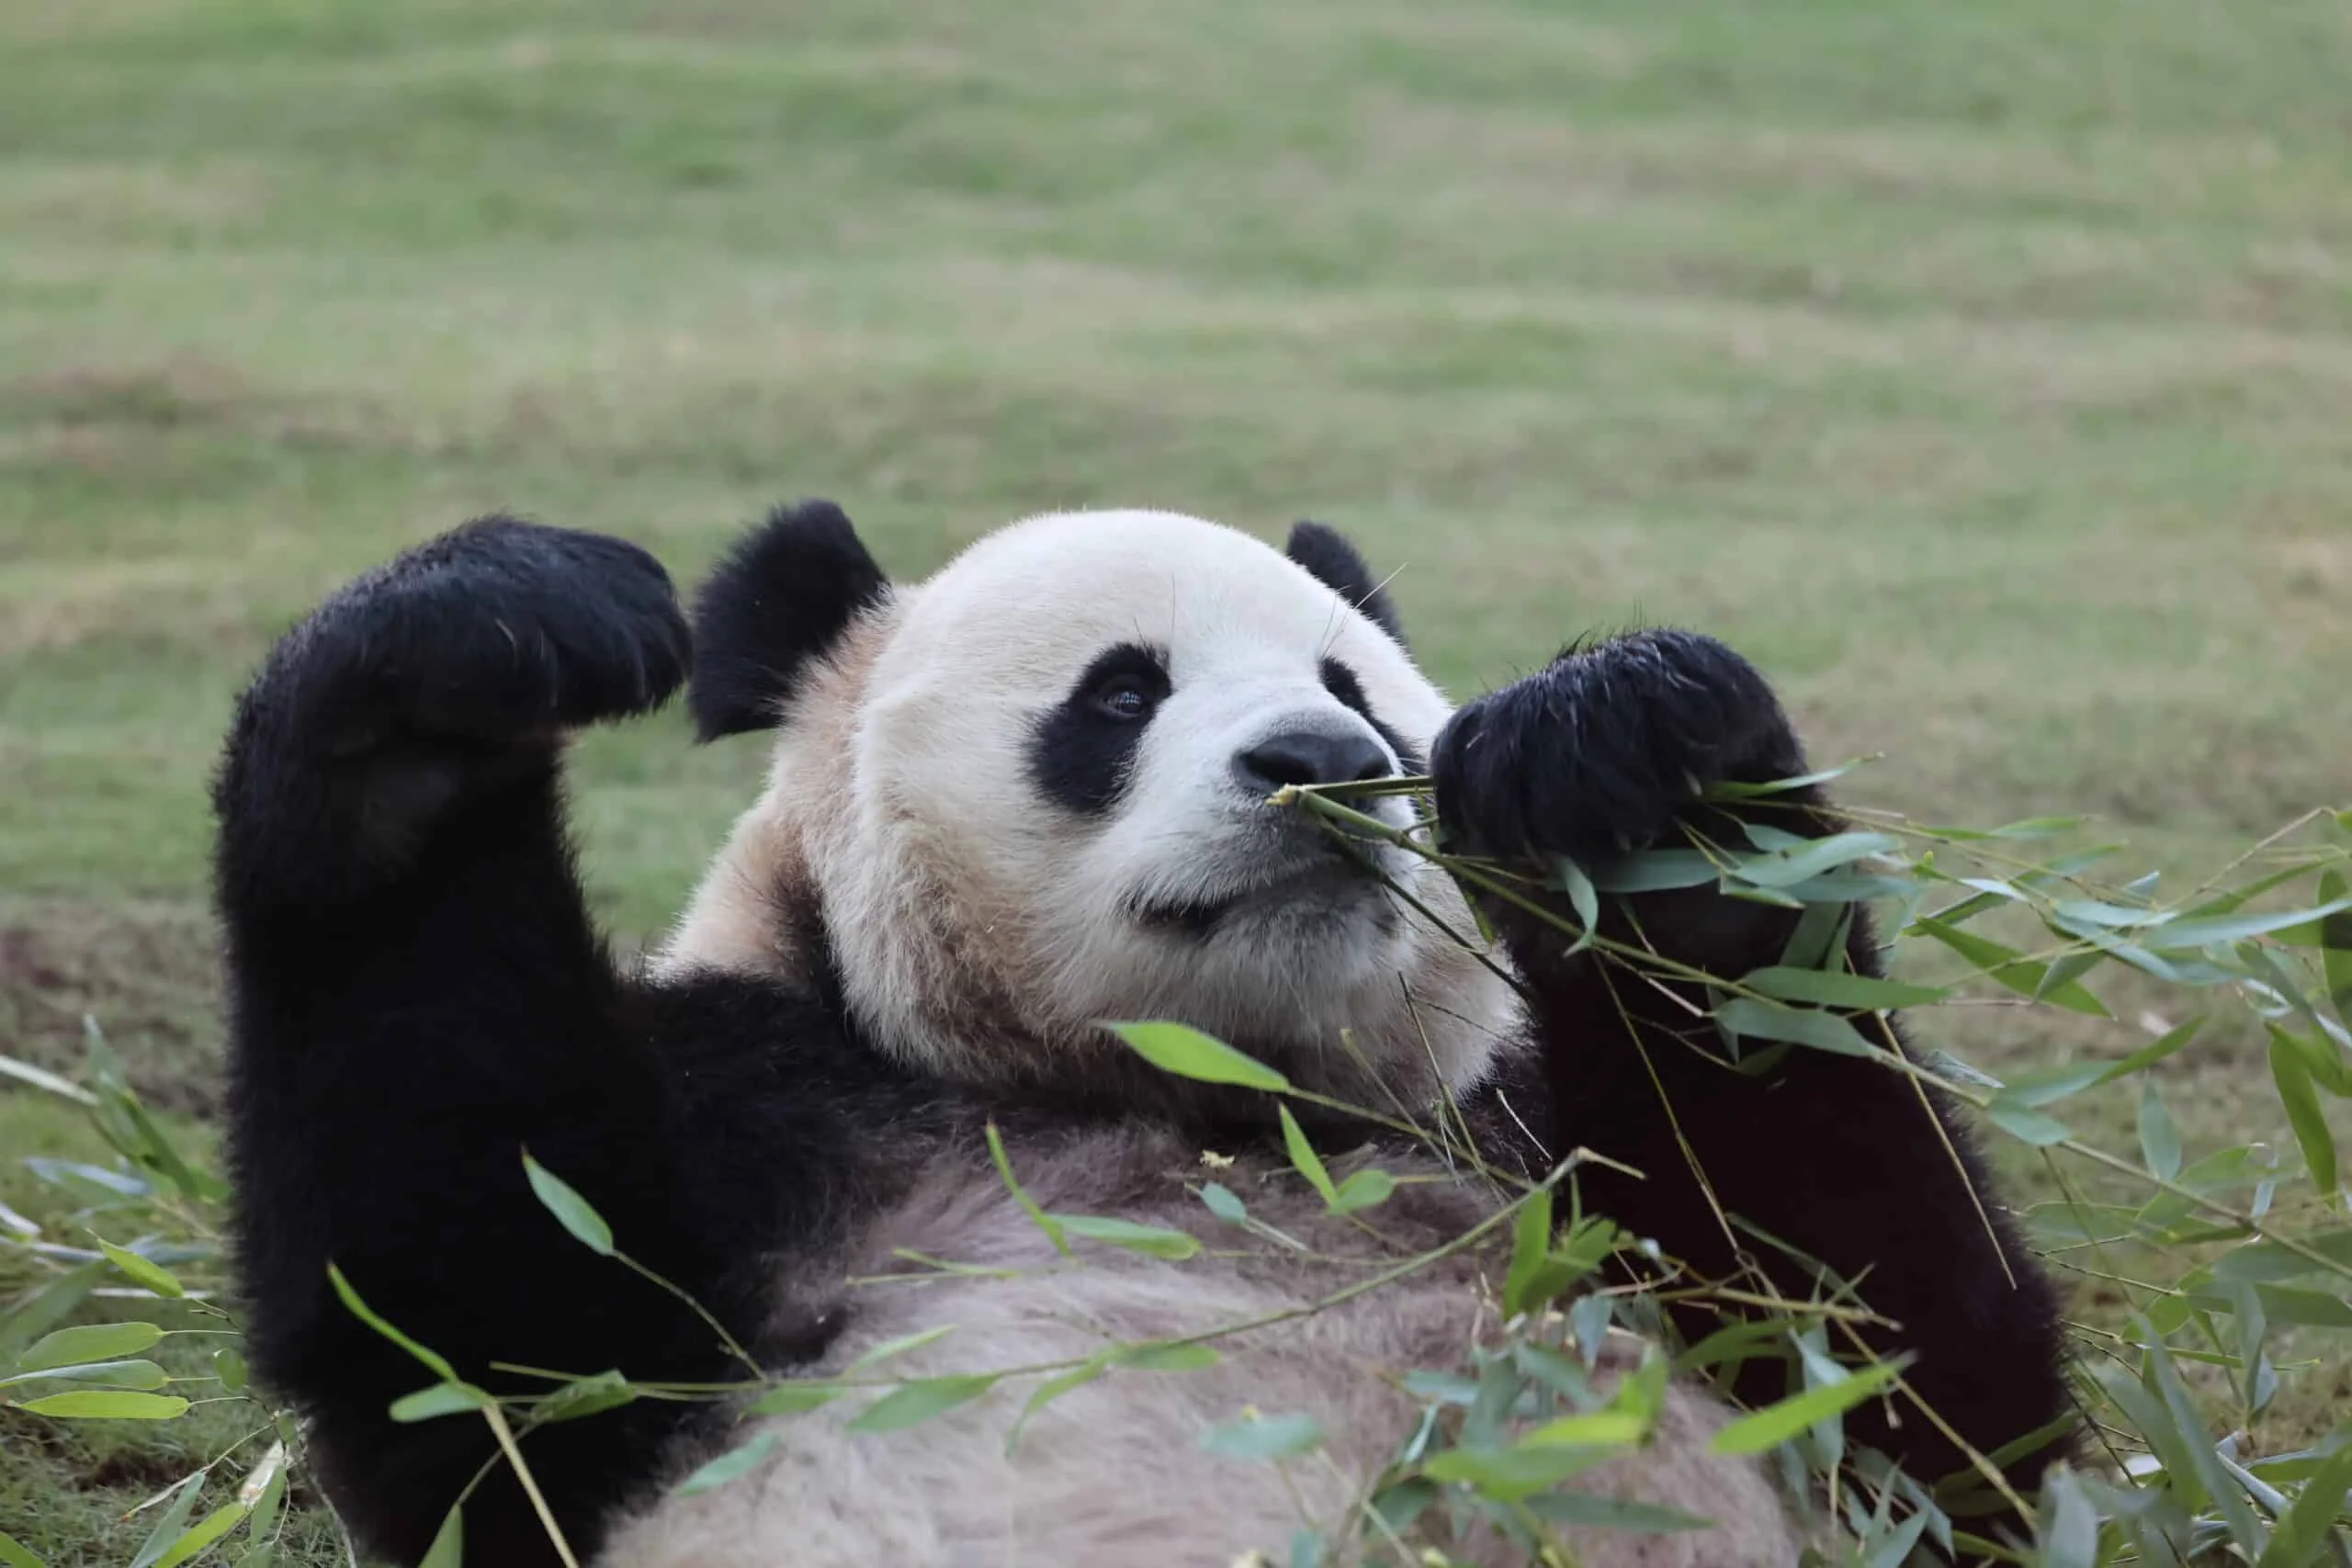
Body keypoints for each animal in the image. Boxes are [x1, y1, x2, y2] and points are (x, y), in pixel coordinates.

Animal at [211, 502, 2072, 1568]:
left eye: (1358, 685)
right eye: (1121, 692)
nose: (1322, 762)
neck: (1227, 1103)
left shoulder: (1520, 1140)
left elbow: (1905, 1381)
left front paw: (1638, 768)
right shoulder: (765, 1101)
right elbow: (484, 1341)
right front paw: (447, 680)